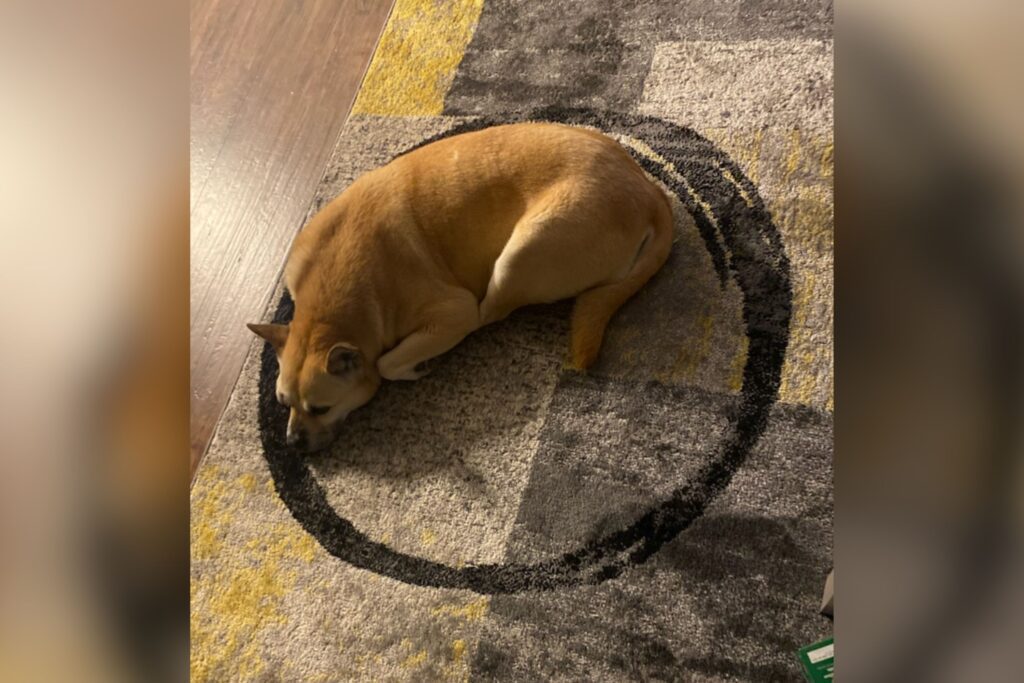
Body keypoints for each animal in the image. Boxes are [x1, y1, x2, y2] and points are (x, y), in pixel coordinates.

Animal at [250, 121, 675, 454]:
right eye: (283, 402)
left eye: (320, 408)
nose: (292, 443)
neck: (328, 305)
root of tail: (650, 192)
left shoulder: (450, 311)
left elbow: (385, 364)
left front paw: (410, 365)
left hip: (521, 253)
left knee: (488, 312)